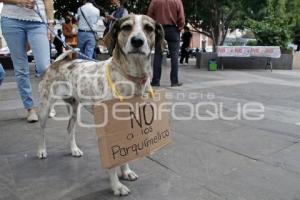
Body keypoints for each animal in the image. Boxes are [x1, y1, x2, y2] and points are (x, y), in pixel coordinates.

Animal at [38, 14, 164, 196]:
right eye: (126, 27)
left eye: (149, 28)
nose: (137, 41)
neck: (131, 78)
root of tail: (56, 63)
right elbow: (112, 163)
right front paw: (116, 186)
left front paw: (126, 172)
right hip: (45, 107)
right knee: (41, 131)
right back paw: (41, 151)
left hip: (74, 109)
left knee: (69, 129)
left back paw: (74, 150)